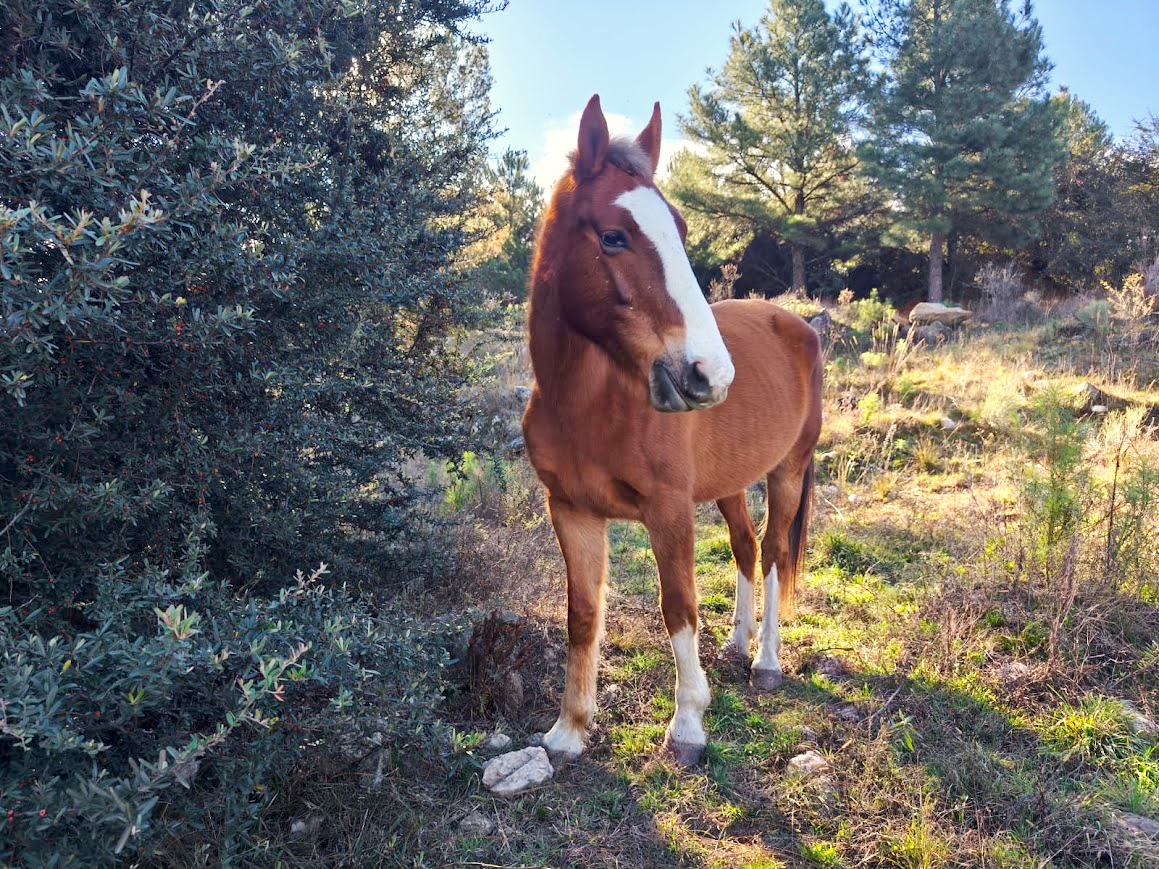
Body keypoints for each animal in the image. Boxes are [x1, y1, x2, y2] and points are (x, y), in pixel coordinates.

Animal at [522, 95, 823, 766]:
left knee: (773, 553)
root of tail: (798, 324)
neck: (591, 404)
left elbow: (678, 606)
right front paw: (568, 730)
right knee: (746, 546)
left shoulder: (668, 510)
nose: (711, 375)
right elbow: (583, 613)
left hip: (787, 472)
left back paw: (766, 662)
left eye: (681, 232)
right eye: (613, 236)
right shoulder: (572, 510)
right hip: (730, 484)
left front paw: (687, 725)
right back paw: (737, 646)